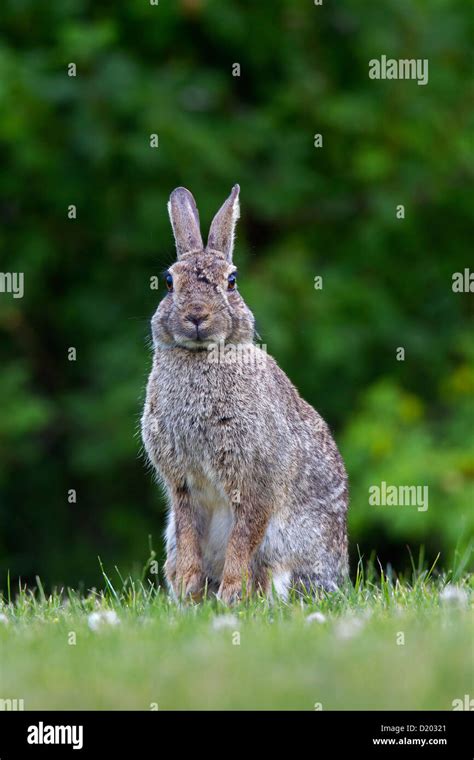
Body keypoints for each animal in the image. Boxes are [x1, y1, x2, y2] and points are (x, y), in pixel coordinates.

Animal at [141, 186, 348, 604]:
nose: (197, 315)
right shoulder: (182, 486)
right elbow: (189, 536)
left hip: (283, 547)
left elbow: (243, 537)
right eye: (168, 281)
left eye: (232, 281)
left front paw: (231, 595)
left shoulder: (254, 482)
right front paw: (189, 590)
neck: (202, 356)